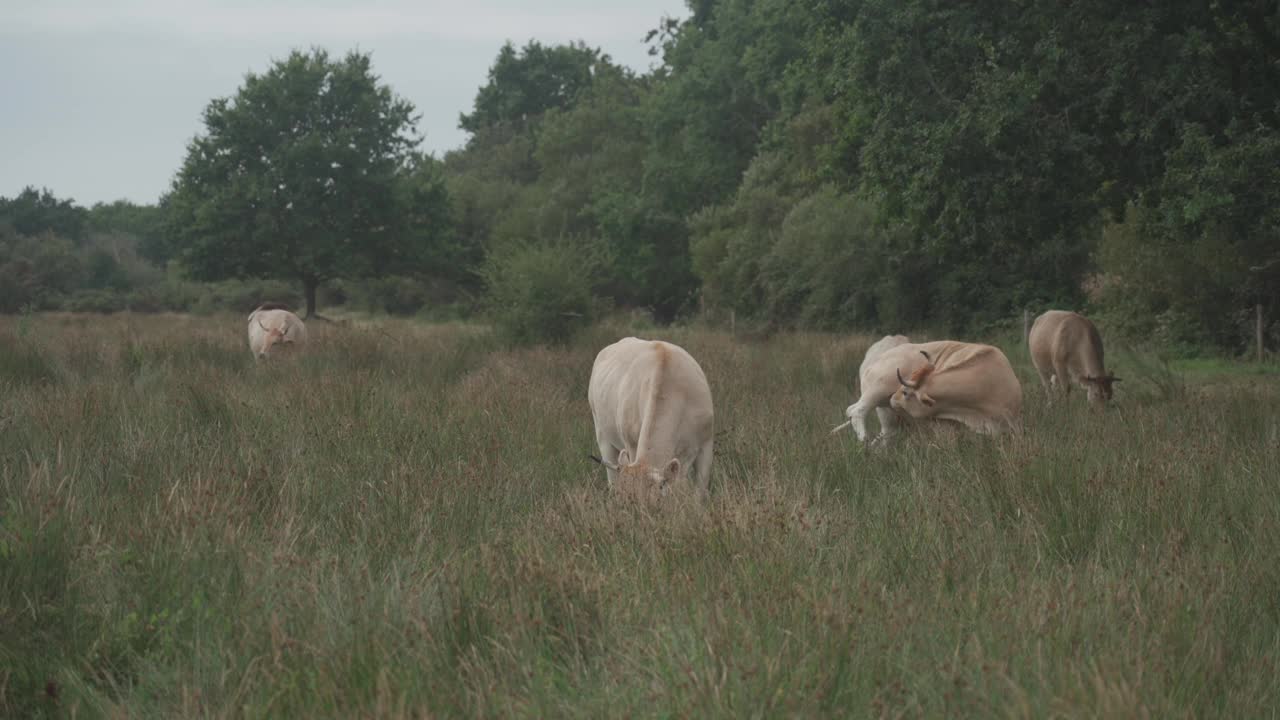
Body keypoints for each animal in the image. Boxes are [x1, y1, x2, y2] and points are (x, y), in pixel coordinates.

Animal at [834, 338, 1024, 443]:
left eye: (905, 392)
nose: (893, 398)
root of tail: (871, 362)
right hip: (878, 389)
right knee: (855, 410)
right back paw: (863, 439)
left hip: (888, 419)